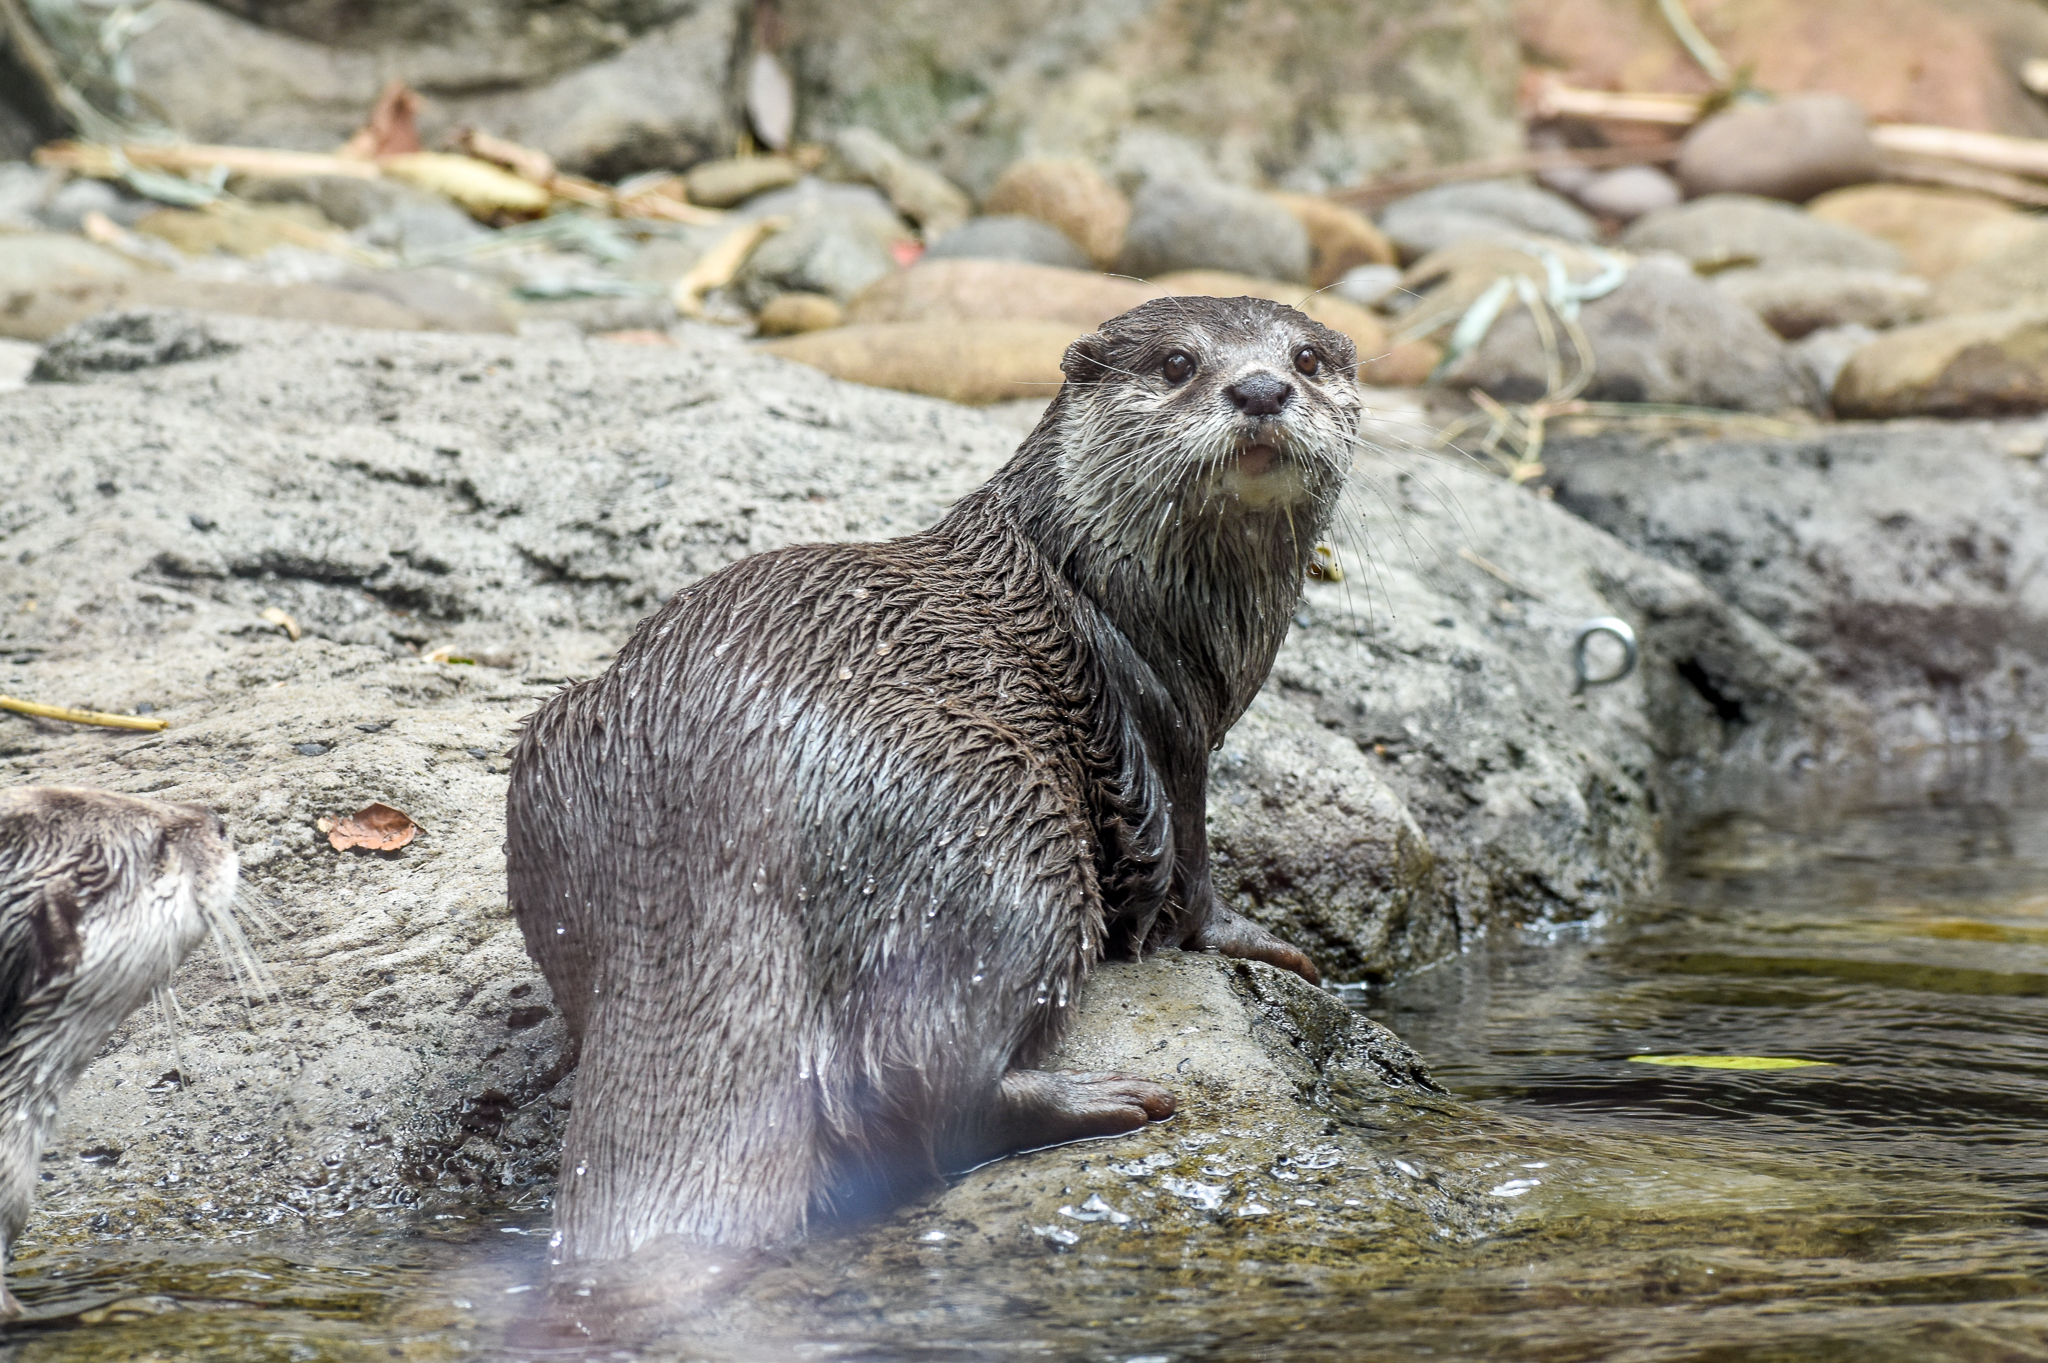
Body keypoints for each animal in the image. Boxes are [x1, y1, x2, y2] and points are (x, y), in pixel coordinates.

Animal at [506, 295, 1360, 1272]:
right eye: (1179, 363)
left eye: (1307, 357)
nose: (1260, 389)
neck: (1110, 584)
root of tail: (717, 776)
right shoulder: (1167, 722)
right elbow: (1191, 868)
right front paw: (1263, 943)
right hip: (999, 811)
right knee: (929, 1089)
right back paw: (1102, 1100)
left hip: (551, 758)